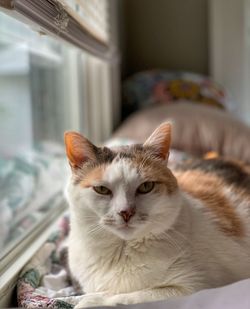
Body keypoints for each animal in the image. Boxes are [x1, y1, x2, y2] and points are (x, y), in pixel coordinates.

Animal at [64, 121, 250, 306]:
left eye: (146, 187)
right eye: (102, 189)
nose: (126, 212)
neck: (121, 253)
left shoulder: (193, 287)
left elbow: (127, 296)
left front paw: (91, 302)